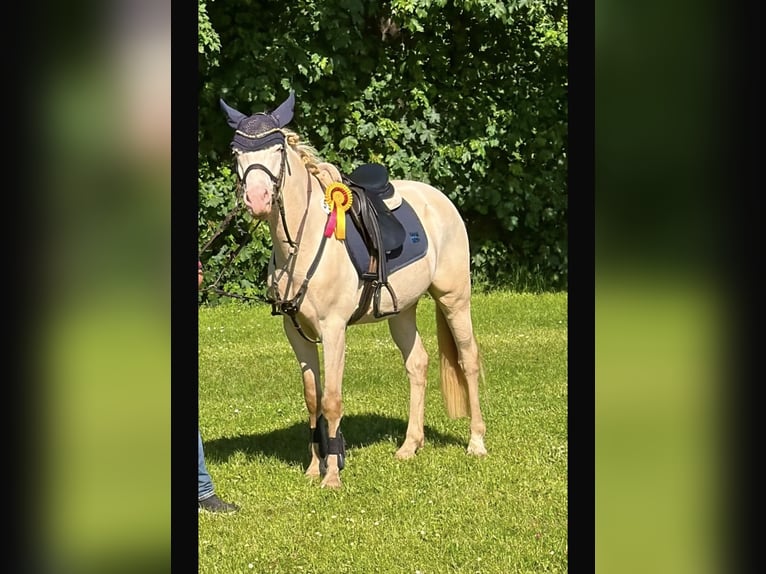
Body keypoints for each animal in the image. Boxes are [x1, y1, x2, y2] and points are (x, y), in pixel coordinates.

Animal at [219, 90, 487, 488]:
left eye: (278, 149)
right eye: (237, 152)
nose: (257, 199)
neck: (303, 242)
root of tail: (439, 199)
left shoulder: (333, 330)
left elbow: (331, 399)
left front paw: (332, 477)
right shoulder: (295, 332)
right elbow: (312, 397)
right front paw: (314, 467)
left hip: (455, 299)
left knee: (468, 360)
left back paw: (476, 443)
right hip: (401, 311)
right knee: (418, 364)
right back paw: (409, 446)